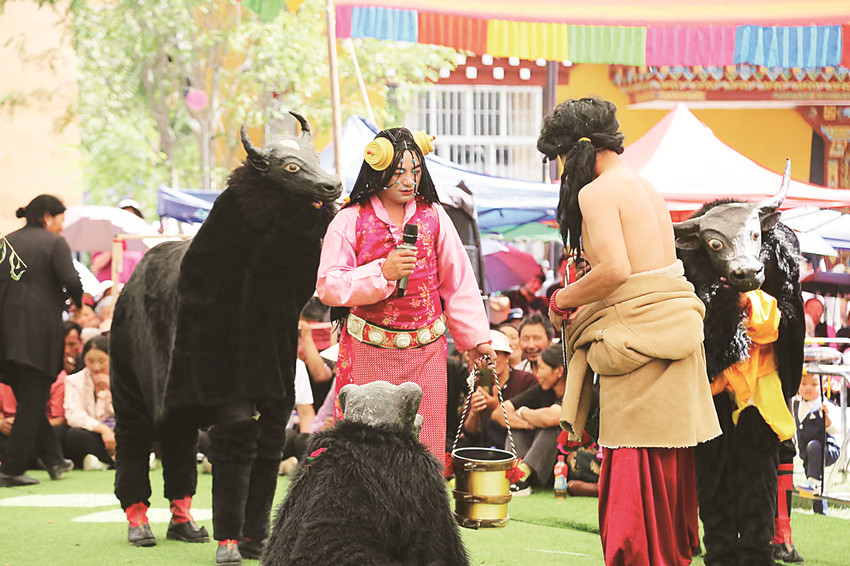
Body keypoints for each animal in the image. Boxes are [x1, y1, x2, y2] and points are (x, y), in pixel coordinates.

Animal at [110, 112, 342, 565]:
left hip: (177, 406)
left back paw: (185, 526)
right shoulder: (230, 396)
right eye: (290, 166)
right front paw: (231, 545)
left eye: (315, 157)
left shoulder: (277, 398)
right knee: (133, 443)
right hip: (128, 388)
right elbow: (235, 457)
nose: (333, 185)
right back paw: (140, 525)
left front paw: (256, 542)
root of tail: (129, 287)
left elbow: (267, 454)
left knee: (178, 450)